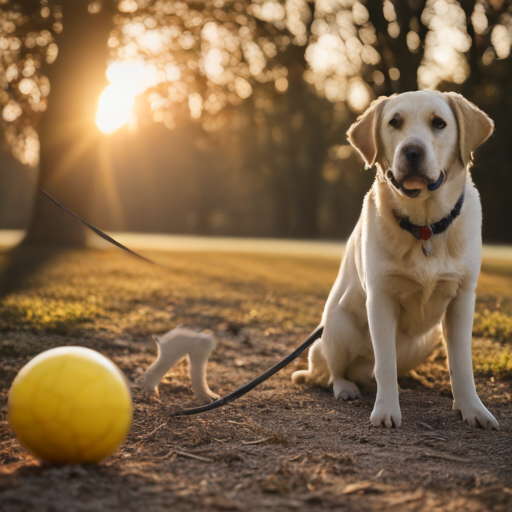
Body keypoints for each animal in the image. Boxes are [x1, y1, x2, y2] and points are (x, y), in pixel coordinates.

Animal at [294, 91, 498, 428]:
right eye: (394, 122)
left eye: (439, 123)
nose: (412, 151)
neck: (425, 227)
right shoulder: (380, 298)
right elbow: (385, 363)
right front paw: (386, 410)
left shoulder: (463, 298)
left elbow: (461, 363)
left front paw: (472, 409)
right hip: (336, 326)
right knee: (335, 373)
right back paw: (346, 387)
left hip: (428, 339)